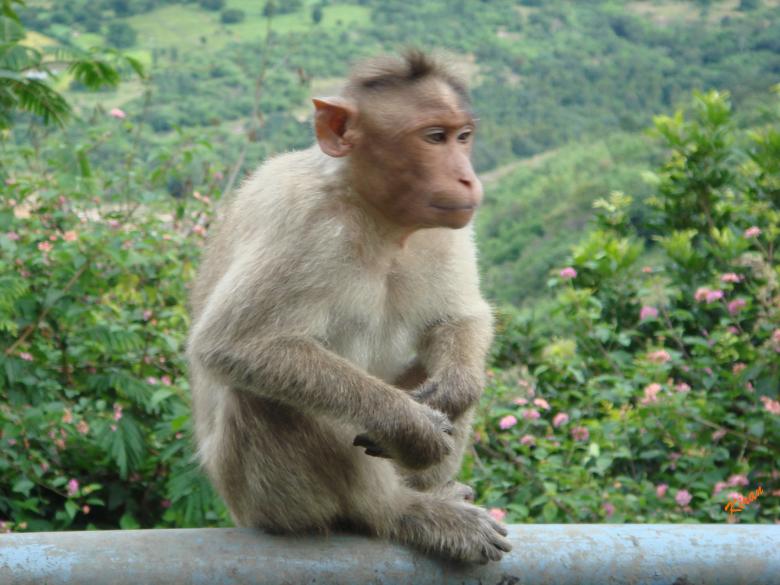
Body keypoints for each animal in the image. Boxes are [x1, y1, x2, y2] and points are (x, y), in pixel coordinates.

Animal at [186, 50, 511, 564]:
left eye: (463, 136)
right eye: (433, 137)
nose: (467, 176)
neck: (376, 216)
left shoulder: (444, 229)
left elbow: (458, 317)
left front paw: (454, 390)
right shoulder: (302, 222)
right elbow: (234, 344)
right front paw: (410, 426)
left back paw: (431, 490)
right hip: (264, 500)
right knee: (260, 393)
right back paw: (400, 512)